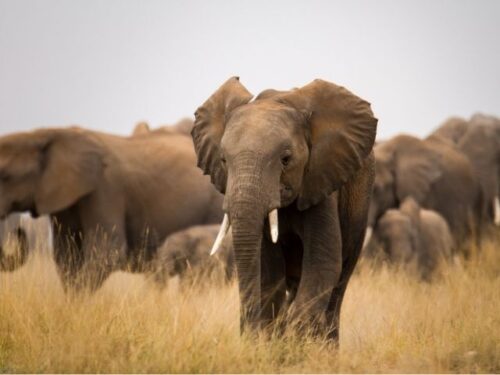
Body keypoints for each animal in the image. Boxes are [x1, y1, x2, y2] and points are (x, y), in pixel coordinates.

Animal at [0, 128, 223, 292]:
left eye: (5, 176)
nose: (18, 230)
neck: (48, 134)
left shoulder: (106, 189)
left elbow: (108, 252)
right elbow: (66, 255)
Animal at [189, 77, 376, 344]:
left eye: (286, 159)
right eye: (223, 160)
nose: (247, 331)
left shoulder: (321, 182)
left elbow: (323, 263)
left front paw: (295, 343)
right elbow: (269, 270)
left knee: (338, 285)